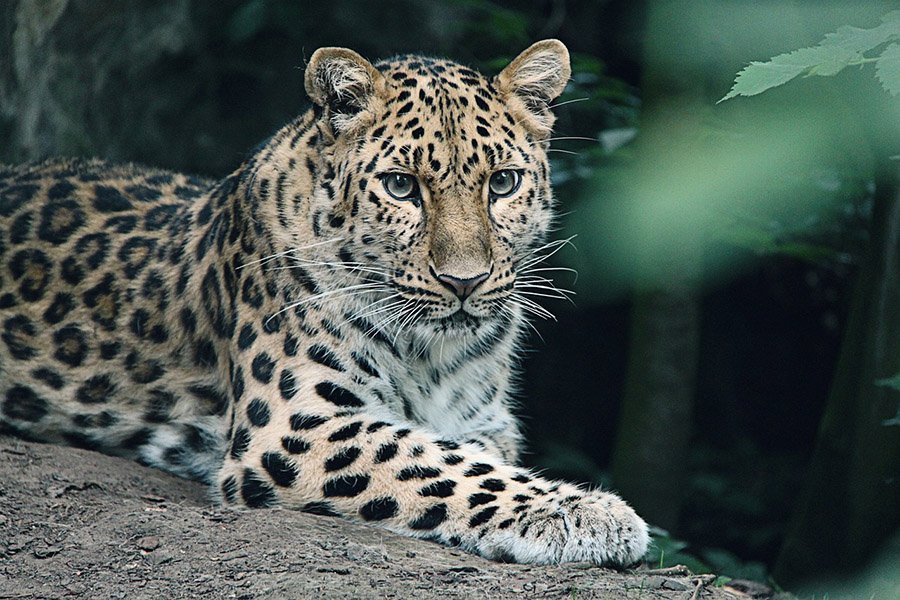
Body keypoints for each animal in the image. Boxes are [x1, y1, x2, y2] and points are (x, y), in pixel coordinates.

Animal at [0, 39, 648, 564]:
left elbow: (474, 456)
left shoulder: (484, 424)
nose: (464, 281)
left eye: (503, 183)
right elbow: (441, 464)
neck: (431, 356)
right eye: (401, 186)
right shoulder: (295, 425)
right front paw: (588, 513)